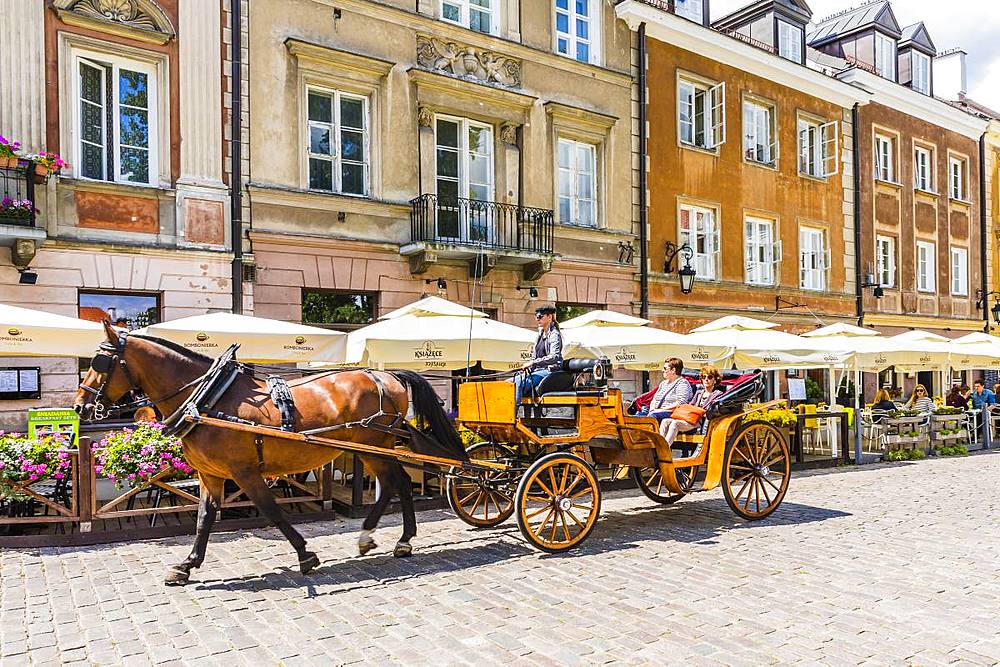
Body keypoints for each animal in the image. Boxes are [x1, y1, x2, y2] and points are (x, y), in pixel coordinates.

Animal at [74, 322, 468, 584]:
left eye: (98, 362)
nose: (79, 407)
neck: (207, 398)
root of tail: (387, 376)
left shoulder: (245, 472)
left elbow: (272, 511)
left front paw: (306, 554)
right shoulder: (210, 474)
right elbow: (204, 518)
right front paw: (186, 565)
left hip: (375, 443)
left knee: (396, 482)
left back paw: (389, 537)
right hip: (373, 446)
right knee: (396, 483)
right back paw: (388, 538)